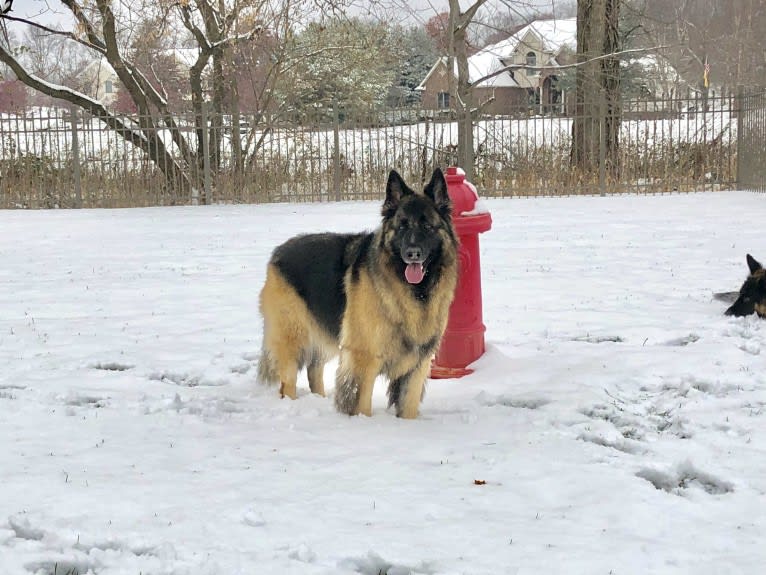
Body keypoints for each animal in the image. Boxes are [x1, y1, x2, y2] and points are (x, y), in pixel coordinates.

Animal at [258, 166, 462, 418]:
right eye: (402, 226)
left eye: (427, 226)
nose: (412, 253)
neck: (413, 291)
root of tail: (278, 252)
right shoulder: (363, 359)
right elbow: (361, 405)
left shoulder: (417, 365)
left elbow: (408, 407)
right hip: (293, 339)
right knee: (288, 384)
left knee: (314, 369)